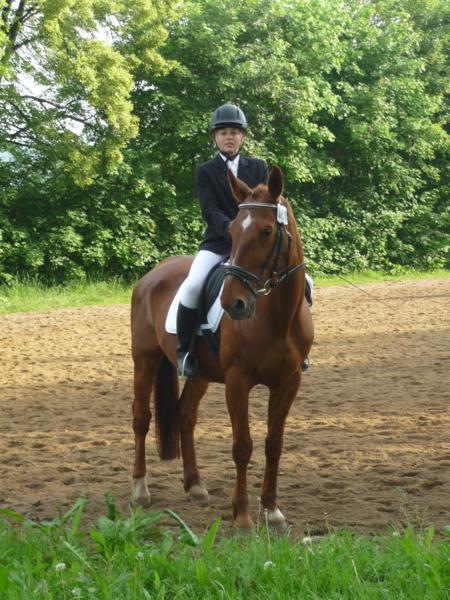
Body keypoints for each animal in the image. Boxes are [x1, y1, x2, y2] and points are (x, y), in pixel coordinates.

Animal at [130, 165, 314, 530]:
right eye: (230, 230)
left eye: (267, 231)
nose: (234, 304)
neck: (278, 317)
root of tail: (152, 273)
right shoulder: (237, 382)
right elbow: (242, 446)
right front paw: (242, 516)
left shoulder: (289, 382)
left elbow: (274, 443)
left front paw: (272, 510)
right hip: (144, 361)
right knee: (141, 418)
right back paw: (140, 489)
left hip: (199, 372)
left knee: (185, 414)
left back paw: (195, 486)